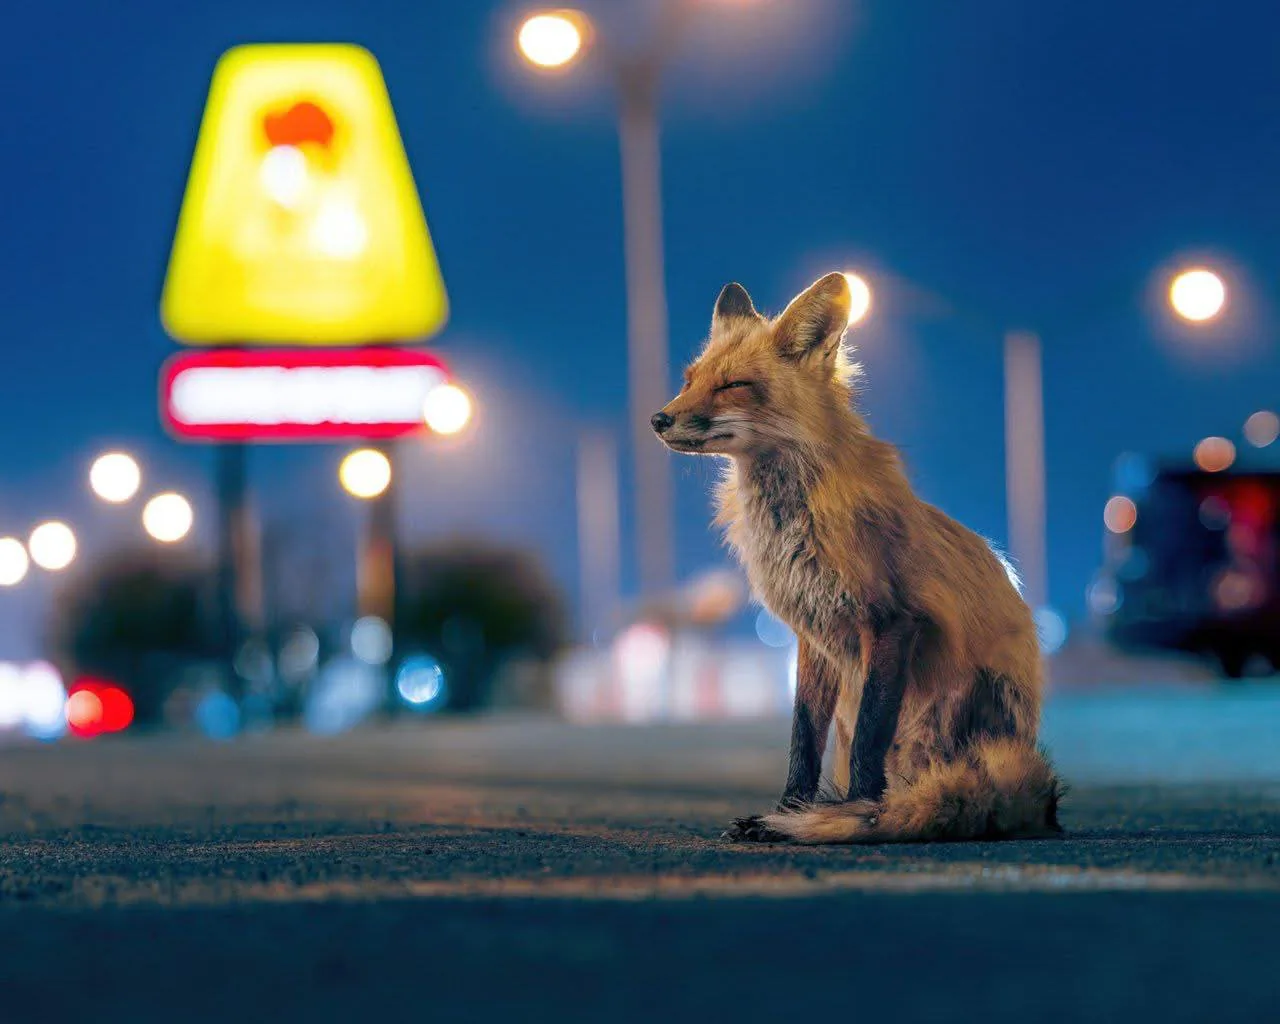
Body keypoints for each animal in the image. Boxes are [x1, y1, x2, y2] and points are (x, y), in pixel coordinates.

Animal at [651, 272, 1063, 843]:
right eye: (689, 379)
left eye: (732, 385)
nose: (658, 419)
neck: (792, 525)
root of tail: (1043, 802)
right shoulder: (812, 633)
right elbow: (802, 738)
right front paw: (790, 809)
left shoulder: (893, 620)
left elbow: (872, 733)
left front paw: (862, 814)